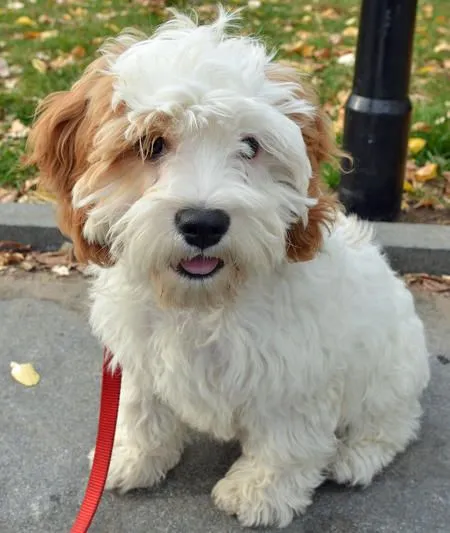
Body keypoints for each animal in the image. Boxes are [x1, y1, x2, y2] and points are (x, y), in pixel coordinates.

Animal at [27, 9, 428, 528]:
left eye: (251, 146)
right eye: (151, 144)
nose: (203, 223)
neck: (203, 301)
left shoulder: (295, 372)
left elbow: (286, 441)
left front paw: (259, 492)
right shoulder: (136, 353)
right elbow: (138, 409)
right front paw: (129, 457)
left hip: (388, 372)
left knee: (393, 423)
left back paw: (356, 456)